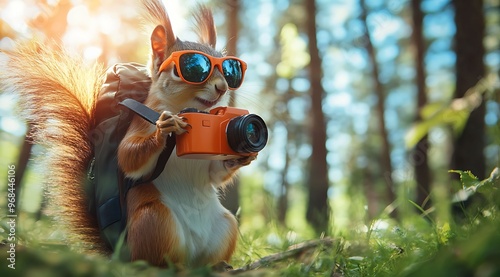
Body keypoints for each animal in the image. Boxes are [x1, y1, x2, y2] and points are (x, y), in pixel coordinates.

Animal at [0, 0, 254, 268]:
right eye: (189, 69)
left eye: (230, 71)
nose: (222, 87)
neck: (189, 110)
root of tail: (122, 252)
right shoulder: (139, 123)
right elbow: (128, 156)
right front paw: (166, 129)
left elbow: (214, 174)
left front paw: (243, 157)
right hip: (155, 221)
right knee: (158, 260)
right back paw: (170, 266)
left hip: (225, 225)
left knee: (204, 258)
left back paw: (218, 265)